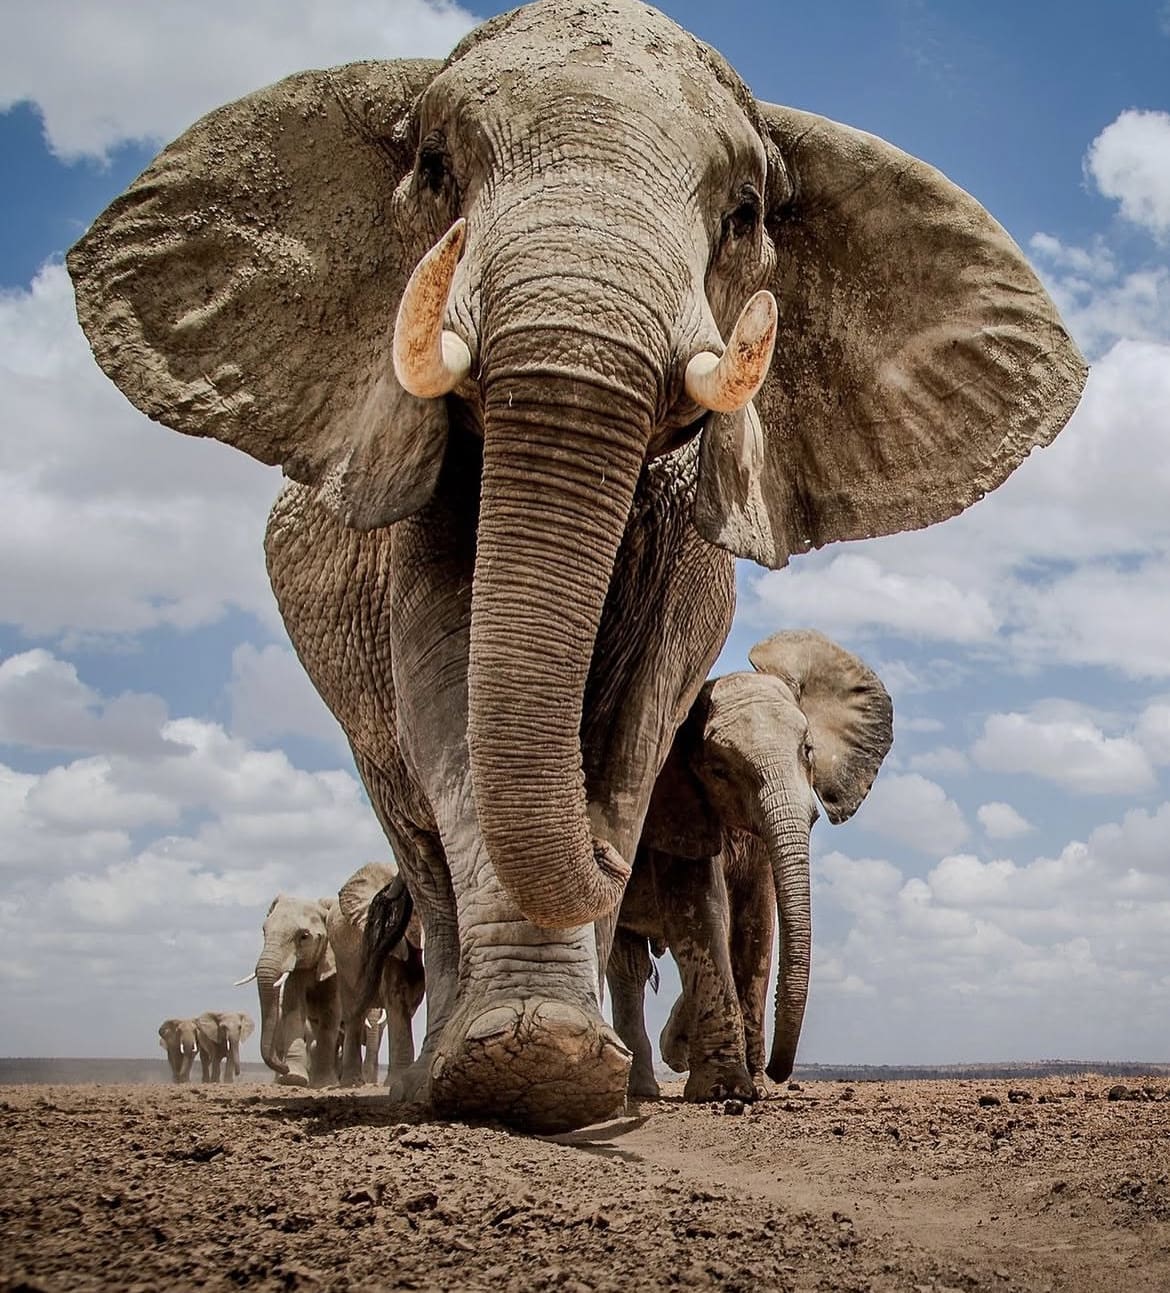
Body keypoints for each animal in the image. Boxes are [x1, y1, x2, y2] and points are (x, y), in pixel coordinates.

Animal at [239, 894, 341, 1086]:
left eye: (304, 936)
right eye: (264, 931)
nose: (283, 1066)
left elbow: (330, 1011)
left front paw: (325, 1084)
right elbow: (294, 1009)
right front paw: (293, 1078)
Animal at [607, 625, 889, 1101]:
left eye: (808, 750)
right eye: (719, 770)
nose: (778, 1070)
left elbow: (756, 921)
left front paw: (750, 1081)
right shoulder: (676, 805)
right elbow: (702, 911)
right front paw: (726, 1091)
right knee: (624, 964)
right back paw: (641, 1090)